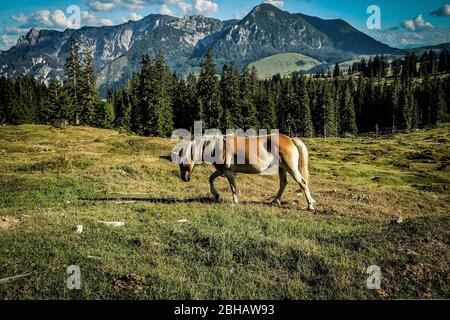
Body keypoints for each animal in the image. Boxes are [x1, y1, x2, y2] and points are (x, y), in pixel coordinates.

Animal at [172, 134, 316, 211]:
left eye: (182, 162)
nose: (184, 178)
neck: (217, 147)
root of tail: (290, 139)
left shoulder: (228, 172)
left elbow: (233, 187)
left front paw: (234, 201)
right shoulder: (221, 170)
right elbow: (211, 179)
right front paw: (216, 195)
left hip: (291, 168)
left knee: (303, 183)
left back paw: (310, 206)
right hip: (282, 168)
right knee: (283, 183)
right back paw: (275, 201)